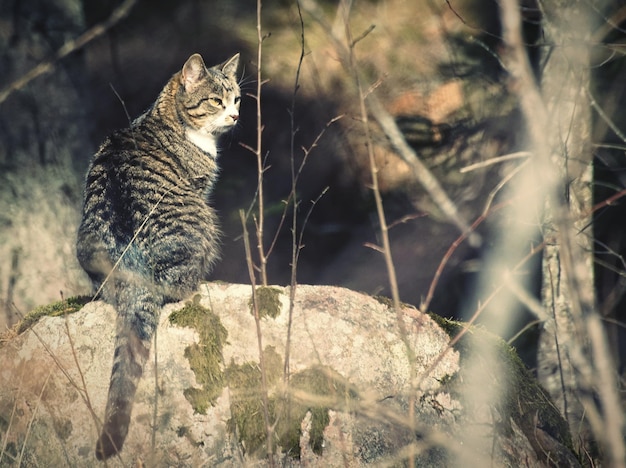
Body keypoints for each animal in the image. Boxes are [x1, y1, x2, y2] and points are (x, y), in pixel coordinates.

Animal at [78, 52, 239, 460]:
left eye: (237, 99)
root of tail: (133, 269)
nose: (234, 116)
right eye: (216, 101)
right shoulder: (200, 186)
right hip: (204, 221)